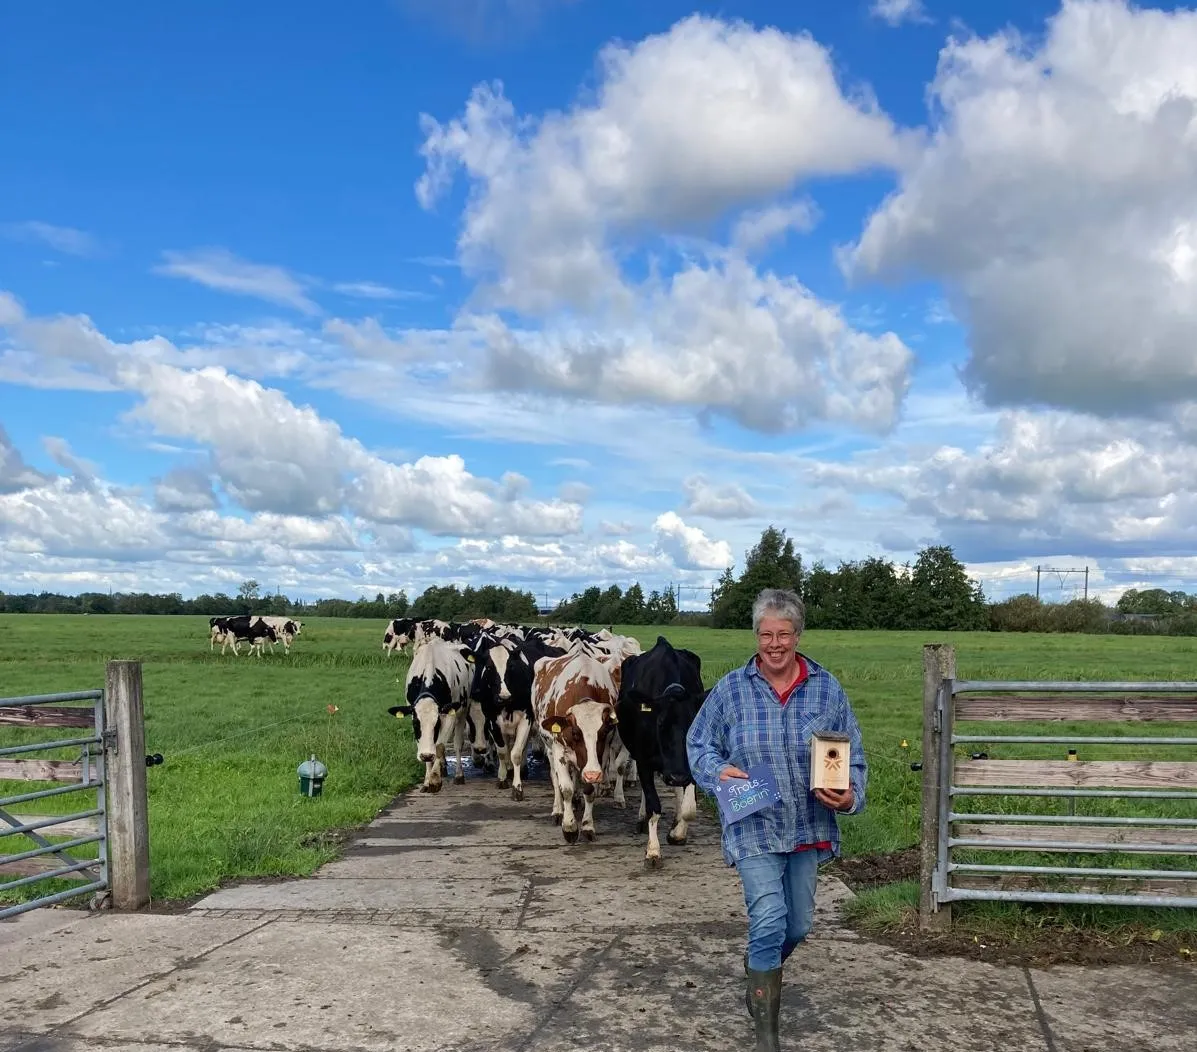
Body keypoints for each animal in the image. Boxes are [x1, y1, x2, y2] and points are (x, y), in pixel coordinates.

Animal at [387, 636, 471, 794]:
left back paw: (458, 775)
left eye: (437, 723)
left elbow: (440, 746)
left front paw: (434, 780)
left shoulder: (448, 715)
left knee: (457, 743)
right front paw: (427, 781)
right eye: (415, 724)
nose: (426, 755)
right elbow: (423, 744)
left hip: (463, 711)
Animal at [531, 646, 632, 842]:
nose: (592, 774)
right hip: (550, 748)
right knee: (555, 778)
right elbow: (566, 789)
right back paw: (558, 810)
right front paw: (569, 827)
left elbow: (590, 789)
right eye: (575, 733)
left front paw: (587, 826)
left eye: (603, 732)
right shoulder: (560, 750)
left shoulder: (601, 755)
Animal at [617, 636, 708, 866]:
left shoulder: (688, 764)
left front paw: (677, 833)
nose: (677, 776)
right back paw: (642, 818)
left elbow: (690, 808)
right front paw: (653, 850)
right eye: (660, 724)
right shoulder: (643, 760)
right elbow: (654, 805)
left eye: (694, 727)